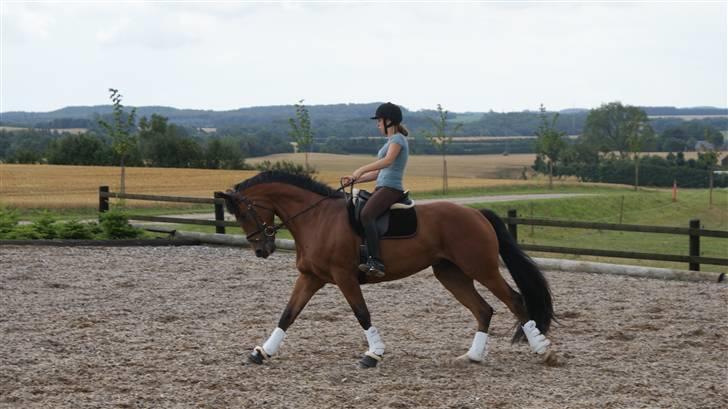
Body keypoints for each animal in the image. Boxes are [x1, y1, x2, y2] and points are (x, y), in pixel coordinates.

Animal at [219, 171, 556, 368]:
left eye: (244, 214)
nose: (262, 250)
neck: (317, 219)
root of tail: (476, 213)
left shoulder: (344, 277)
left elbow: (361, 314)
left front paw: (373, 353)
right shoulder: (311, 277)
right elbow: (288, 314)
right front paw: (262, 352)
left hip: (481, 268)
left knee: (515, 301)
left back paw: (543, 350)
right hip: (450, 273)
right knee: (484, 309)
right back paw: (473, 356)